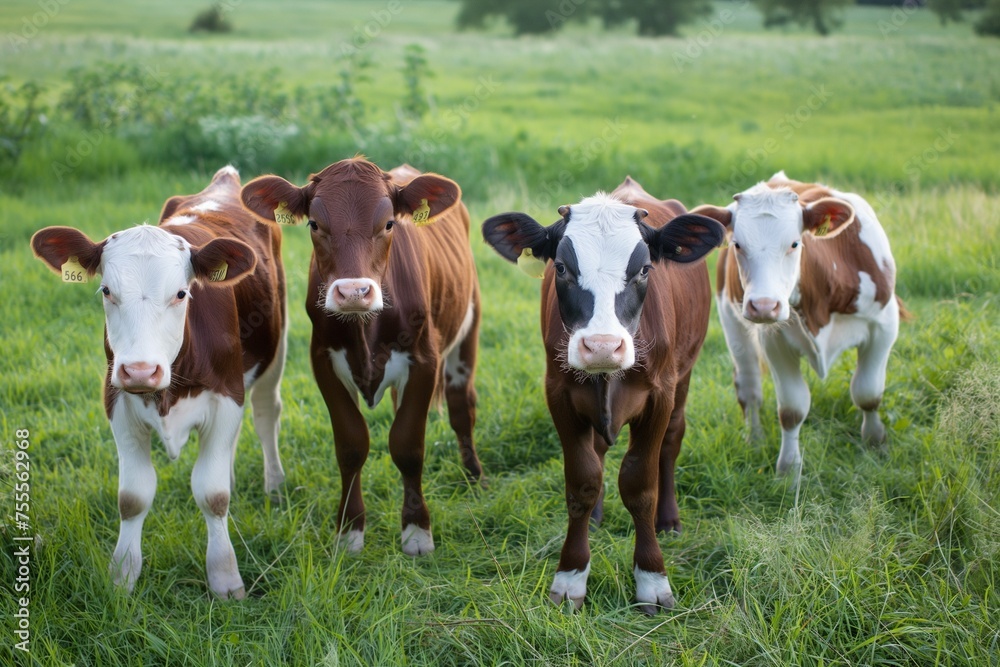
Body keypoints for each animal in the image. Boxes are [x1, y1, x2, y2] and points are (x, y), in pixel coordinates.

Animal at [31, 167, 288, 600]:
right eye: (106, 290)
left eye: (182, 293)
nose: (139, 370)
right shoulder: (117, 403)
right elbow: (133, 498)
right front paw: (122, 577)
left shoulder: (227, 397)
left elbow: (213, 494)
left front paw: (225, 578)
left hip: (275, 352)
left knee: (266, 412)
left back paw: (274, 484)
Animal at [238, 158, 480, 560]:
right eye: (315, 224)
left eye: (389, 223)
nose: (354, 291)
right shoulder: (324, 362)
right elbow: (351, 444)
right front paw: (349, 531)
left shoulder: (424, 360)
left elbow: (407, 444)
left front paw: (417, 531)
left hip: (469, 322)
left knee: (462, 404)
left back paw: (474, 474)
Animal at [480, 177, 724, 616]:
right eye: (561, 267)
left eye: (644, 269)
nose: (602, 347)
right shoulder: (558, 394)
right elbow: (582, 481)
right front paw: (571, 576)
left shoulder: (660, 396)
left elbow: (640, 486)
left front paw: (652, 579)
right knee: (597, 453)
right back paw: (596, 517)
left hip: (684, 377)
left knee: (671, 443)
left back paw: (669, 519)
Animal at [700, 172, 904, 480]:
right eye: (737, 244)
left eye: (795, 243)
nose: (763, 305)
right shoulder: (775, 342)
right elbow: (792, 410)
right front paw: (788, 470)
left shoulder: (884, 325)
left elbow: (868, 393)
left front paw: (876, 442)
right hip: (732, 323)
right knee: (749, 388)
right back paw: (755, 439)